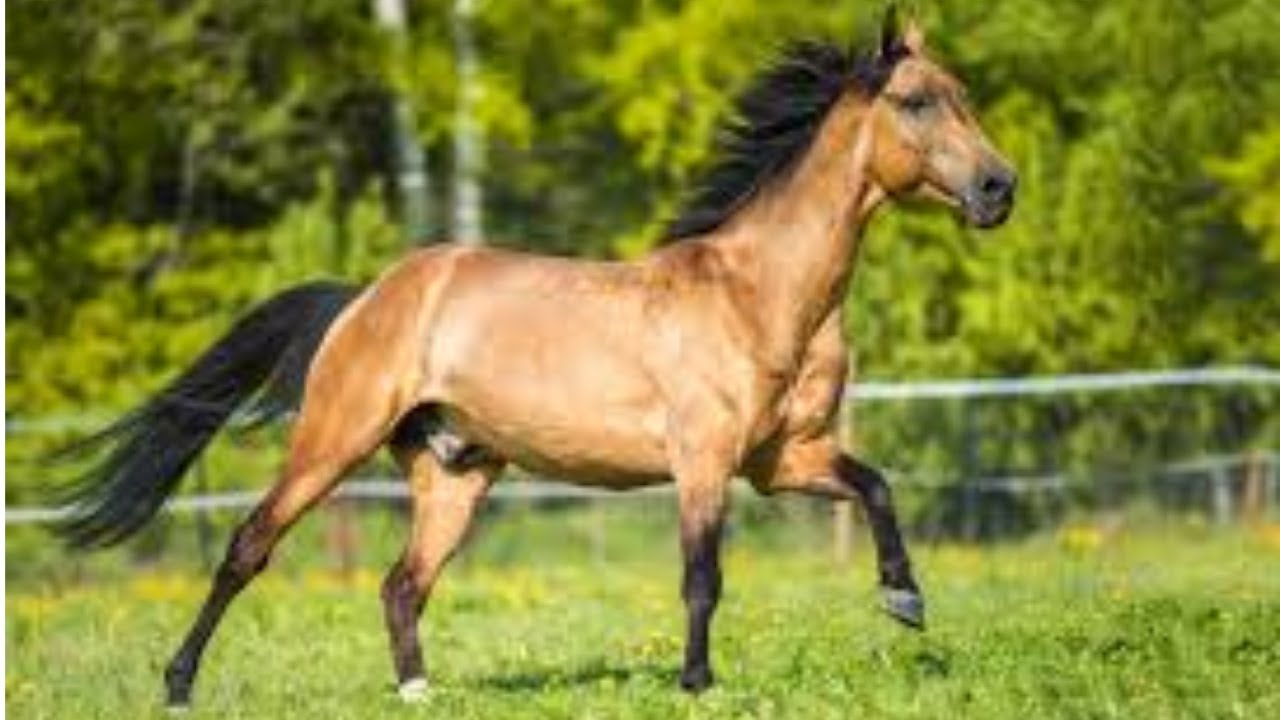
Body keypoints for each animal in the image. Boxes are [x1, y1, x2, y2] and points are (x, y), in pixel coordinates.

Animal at [57, 8, 1015, 707]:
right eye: (918, 101)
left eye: (961, 93)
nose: (1000, 189)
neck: (758, 296)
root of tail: (368, 296)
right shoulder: (703, 463)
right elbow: (702, 577)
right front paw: (697, 683)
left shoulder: (784, 462)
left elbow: (877, 485)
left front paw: (905, 599)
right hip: (333, 440)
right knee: (249, 546)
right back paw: (178, 685)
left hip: (456, 476)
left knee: (402, 584)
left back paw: (419, 694)